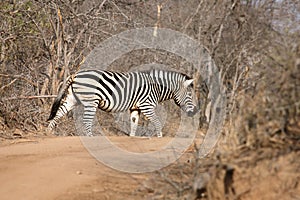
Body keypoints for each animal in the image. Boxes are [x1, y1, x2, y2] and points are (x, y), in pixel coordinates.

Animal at [47, 69, 199, 138]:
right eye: (190, 95)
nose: (195, 112)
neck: (156, 87)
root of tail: (75, 74)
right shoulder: (147, 105)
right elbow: (157, 121)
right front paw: (160, 137)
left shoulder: (135, 108)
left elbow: (134, 123)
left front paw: (132, 137)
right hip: (91, 101)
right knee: (86, 120)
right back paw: (90, 137)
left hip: (72, 99)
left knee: (59, 113)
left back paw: (48, 132)